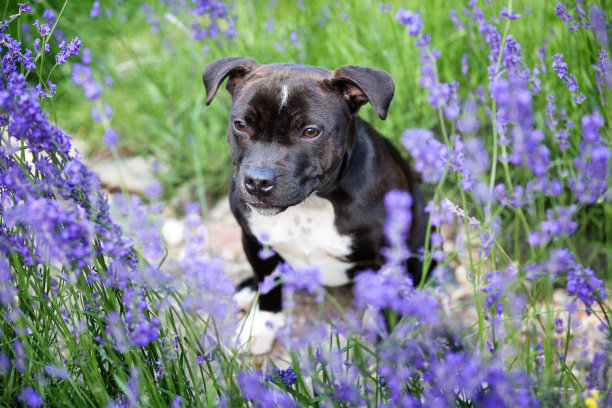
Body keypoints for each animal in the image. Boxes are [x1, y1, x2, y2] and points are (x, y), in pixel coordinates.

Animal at [203, 57, 428, 354]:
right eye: (240, 125)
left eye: (310, 132)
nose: (257, 181)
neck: (312, 203)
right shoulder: (255, 241)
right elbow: (269, 286)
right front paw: (260, 325)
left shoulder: (389, 253)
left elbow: (386, 302)